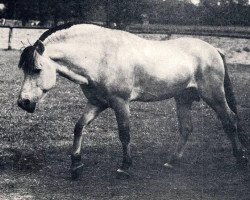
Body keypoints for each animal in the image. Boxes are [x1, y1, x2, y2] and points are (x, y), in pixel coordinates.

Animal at [17, 23, 248, 180]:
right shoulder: (97, 103)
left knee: (230, 121)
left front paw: (125, 167)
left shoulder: (120, 103)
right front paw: (76, 165)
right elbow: (79, 127)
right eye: (24, 69)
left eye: (36, 69)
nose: (23, 102)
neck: (101, 57)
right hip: (183, 98)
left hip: (214, 96)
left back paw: (241, 158)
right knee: (187, 128)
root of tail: (214, 50)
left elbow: (124, 133)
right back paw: (172, 162)